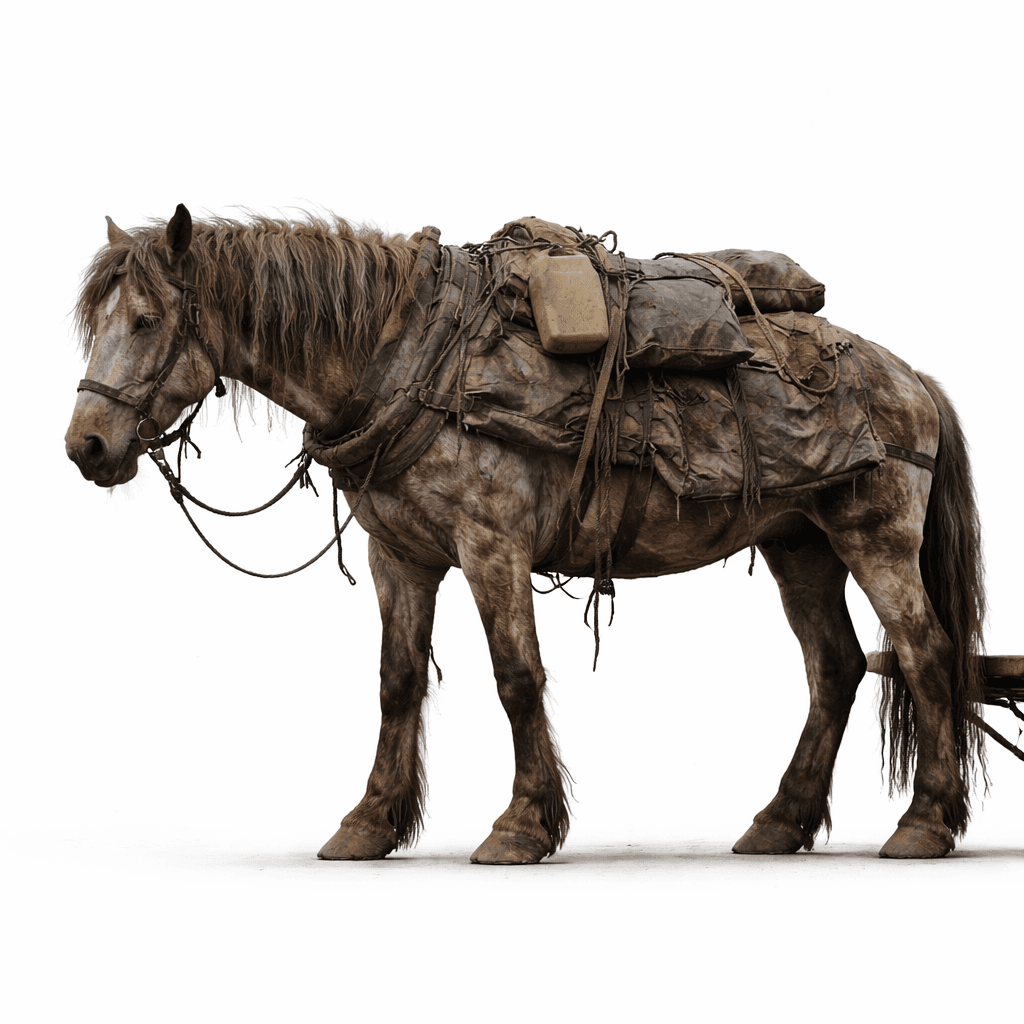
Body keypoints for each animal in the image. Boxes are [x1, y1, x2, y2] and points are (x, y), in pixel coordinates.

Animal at [65, 204, 987, 863]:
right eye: (95, 323)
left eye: (145, 321)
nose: (87, 447)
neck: (410, 363)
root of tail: (907, 376)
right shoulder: (400, 557)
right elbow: (396, 682)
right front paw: (369, 823)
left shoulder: (492, 548)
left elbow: (517, 678)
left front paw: (522, 826)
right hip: (800, 545)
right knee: (835, 668)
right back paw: (780, 821)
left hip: (875, 539)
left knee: (925, 654)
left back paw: (925, 823)